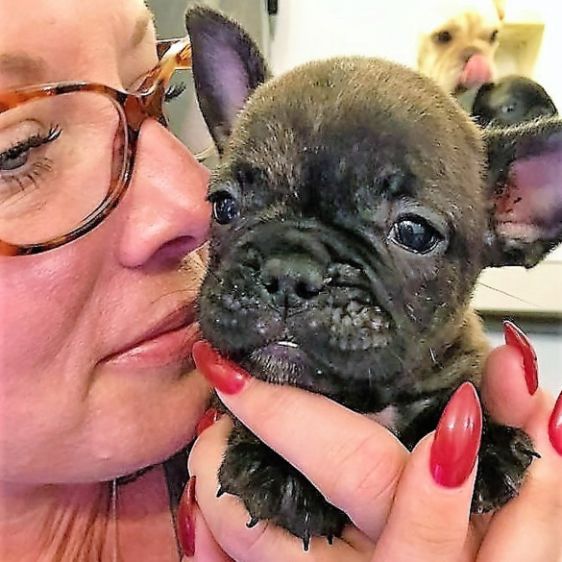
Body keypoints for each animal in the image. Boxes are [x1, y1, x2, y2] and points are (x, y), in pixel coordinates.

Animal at [185, 5, 560, 548]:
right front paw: (279, 469)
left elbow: (460, 397)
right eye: (223, 206)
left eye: (414, 233)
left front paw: (486, 445)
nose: (289, 273)